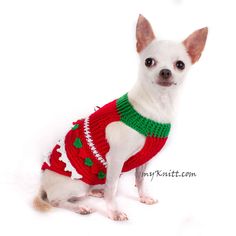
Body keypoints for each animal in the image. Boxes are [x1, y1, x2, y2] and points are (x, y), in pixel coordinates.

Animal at [33, 14, 206, 221]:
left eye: (180, 65)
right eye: (149, 61)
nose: (165, 71)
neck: (156, 105)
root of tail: (43, 183)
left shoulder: (143, 161)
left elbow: (139, 180)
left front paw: (143, 197)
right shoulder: (115, 159)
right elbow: (112, 188)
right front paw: (113, 212)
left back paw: (94, 192)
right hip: (77, 183)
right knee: (56, 201)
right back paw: (80, 207)